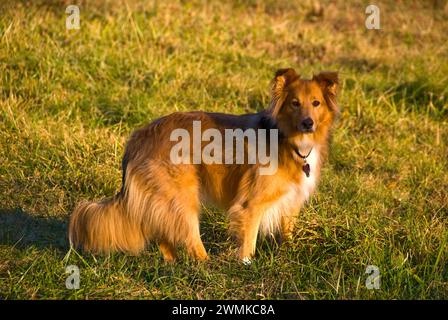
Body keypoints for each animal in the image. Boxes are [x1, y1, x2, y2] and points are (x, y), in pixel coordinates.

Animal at [68, 67, 338, 262]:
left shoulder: (291, 199)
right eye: (294, 103)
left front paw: (287, 252)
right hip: (182, 198)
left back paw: (172, 264)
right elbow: (248, 240)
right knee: (189, 238)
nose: (308, 123)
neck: (289, 140)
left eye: (316, 103)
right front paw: (246, 265)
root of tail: (138, 138)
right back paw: (205, 264)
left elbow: (287, 229)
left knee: (164, 236)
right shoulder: (250, 204)